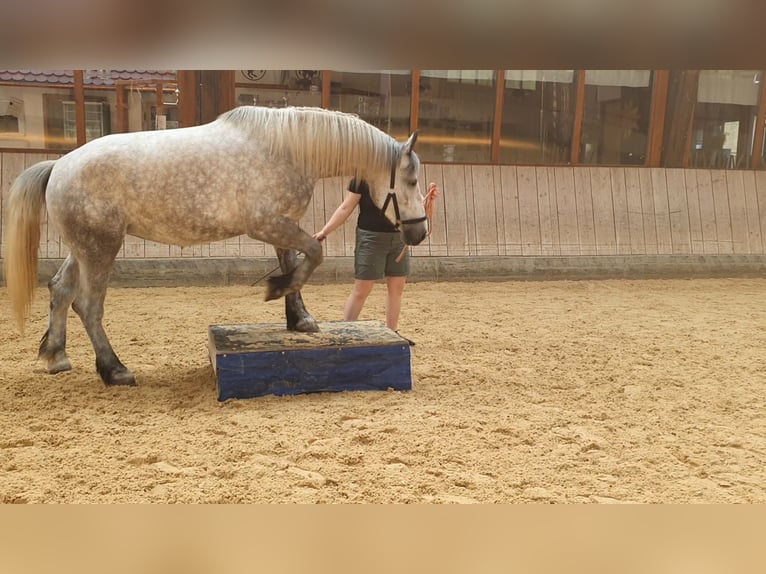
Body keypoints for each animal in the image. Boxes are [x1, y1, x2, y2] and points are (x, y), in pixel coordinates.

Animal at [3, 107, 428, 388]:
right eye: (410, 180)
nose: (420, 233)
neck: (286, 148)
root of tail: (60, 165)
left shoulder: (282, 225)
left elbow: (295, 262)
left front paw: (299, 317)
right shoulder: (267, 225)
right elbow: (313, 254)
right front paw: (277, 290)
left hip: (84, 248)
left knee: (59, 289)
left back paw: (56, 355)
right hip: (100, 247)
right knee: (88, 306)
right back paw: (114, 370)